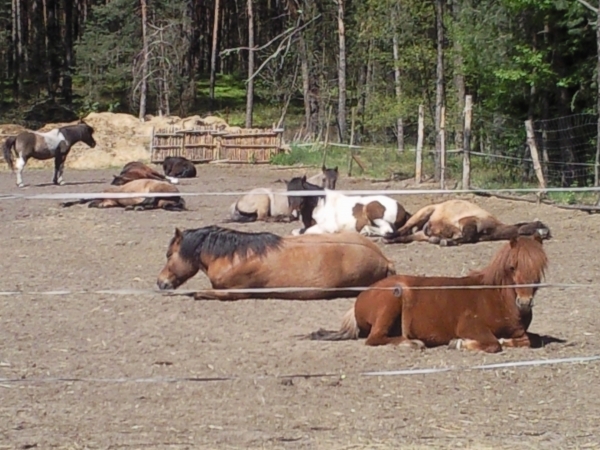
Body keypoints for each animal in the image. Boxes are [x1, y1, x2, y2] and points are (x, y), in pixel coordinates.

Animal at [157, 227, 396, 300]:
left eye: (169, 254)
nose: (160, 282)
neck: (234, 256)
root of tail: (384, 259)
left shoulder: (235, 291)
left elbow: (201, 293)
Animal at [312, 234, 552, 354]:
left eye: (539, 268)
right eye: (512, 267)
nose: (524, 303)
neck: (496, 299)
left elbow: (528, 340)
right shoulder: (471, 326)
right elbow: (494, 344)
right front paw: (459, 343)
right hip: (393, 298)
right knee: (375, 338)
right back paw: (413, 344)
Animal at [386, 198, 552, 244]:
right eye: (539, 226)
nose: (545, 234)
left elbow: (467, 238)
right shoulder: (468, 222)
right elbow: (466, 236)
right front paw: (448, 242)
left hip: (421, 232)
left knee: (407, 236)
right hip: (422, 214)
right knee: (404, 228)